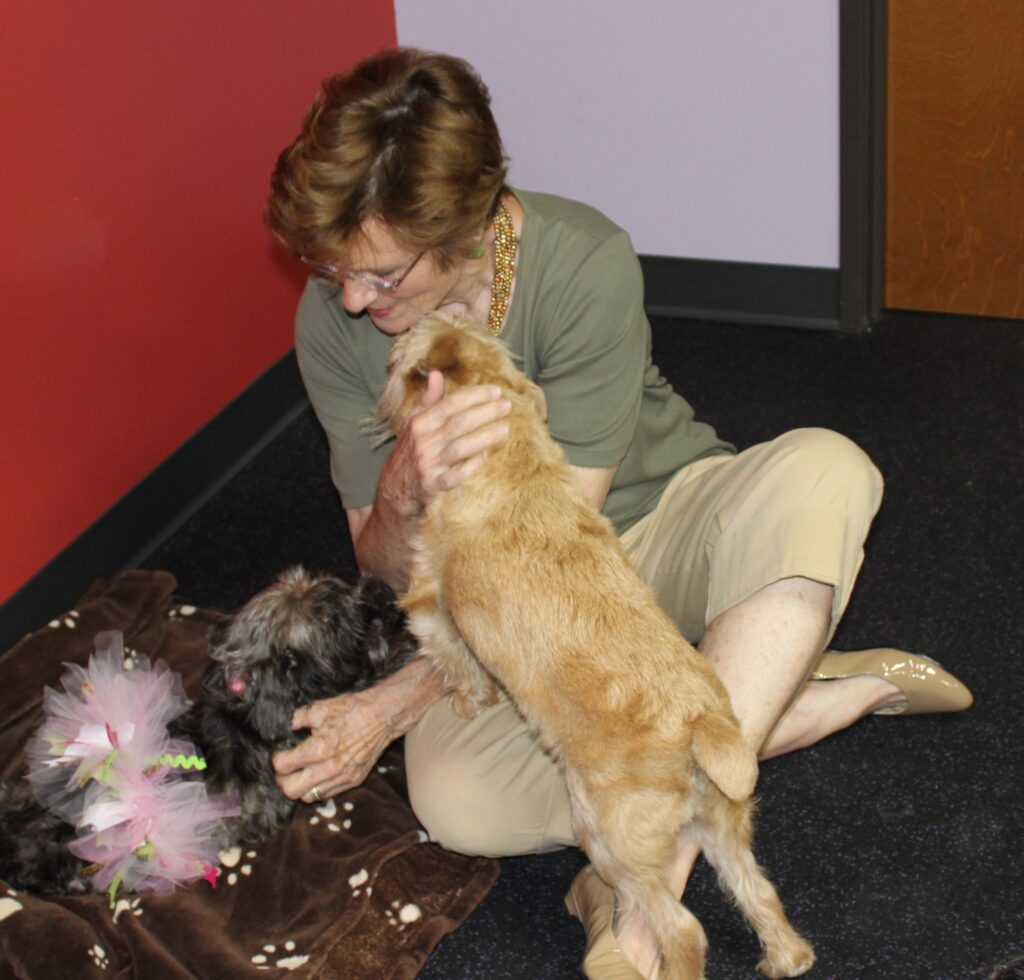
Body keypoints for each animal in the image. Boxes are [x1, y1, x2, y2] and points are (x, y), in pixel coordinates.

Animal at [376, 313, 815, 978]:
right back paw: (786, 957)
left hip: (610, 840)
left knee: (682, 930)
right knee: (756, 890)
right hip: (721, 827)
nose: (384, 397)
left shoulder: (429, 601)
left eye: (401, 363)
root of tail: (702, 723)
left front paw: (469, 700)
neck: (513, 457)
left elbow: (452, 657)